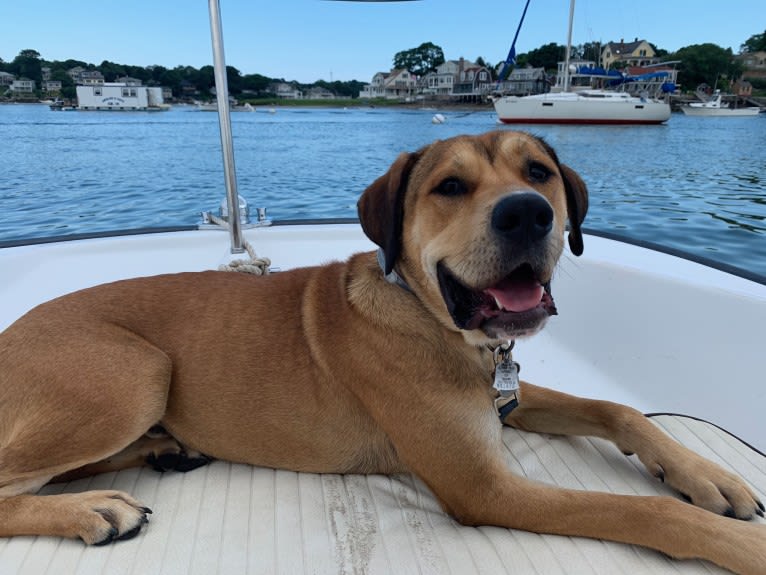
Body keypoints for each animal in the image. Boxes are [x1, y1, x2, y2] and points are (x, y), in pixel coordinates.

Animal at [0, 133, 764, 572]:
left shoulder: (506, 398)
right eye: (449, 186)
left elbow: (617, 409)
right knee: (16, 482)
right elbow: (649, 513)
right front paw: (743, 546)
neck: (436, 322)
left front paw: (707, 476)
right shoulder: (484, 487)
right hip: (136, 372)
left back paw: (161, 450)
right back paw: (95, 509)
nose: (527, 212)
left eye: (539, 171)